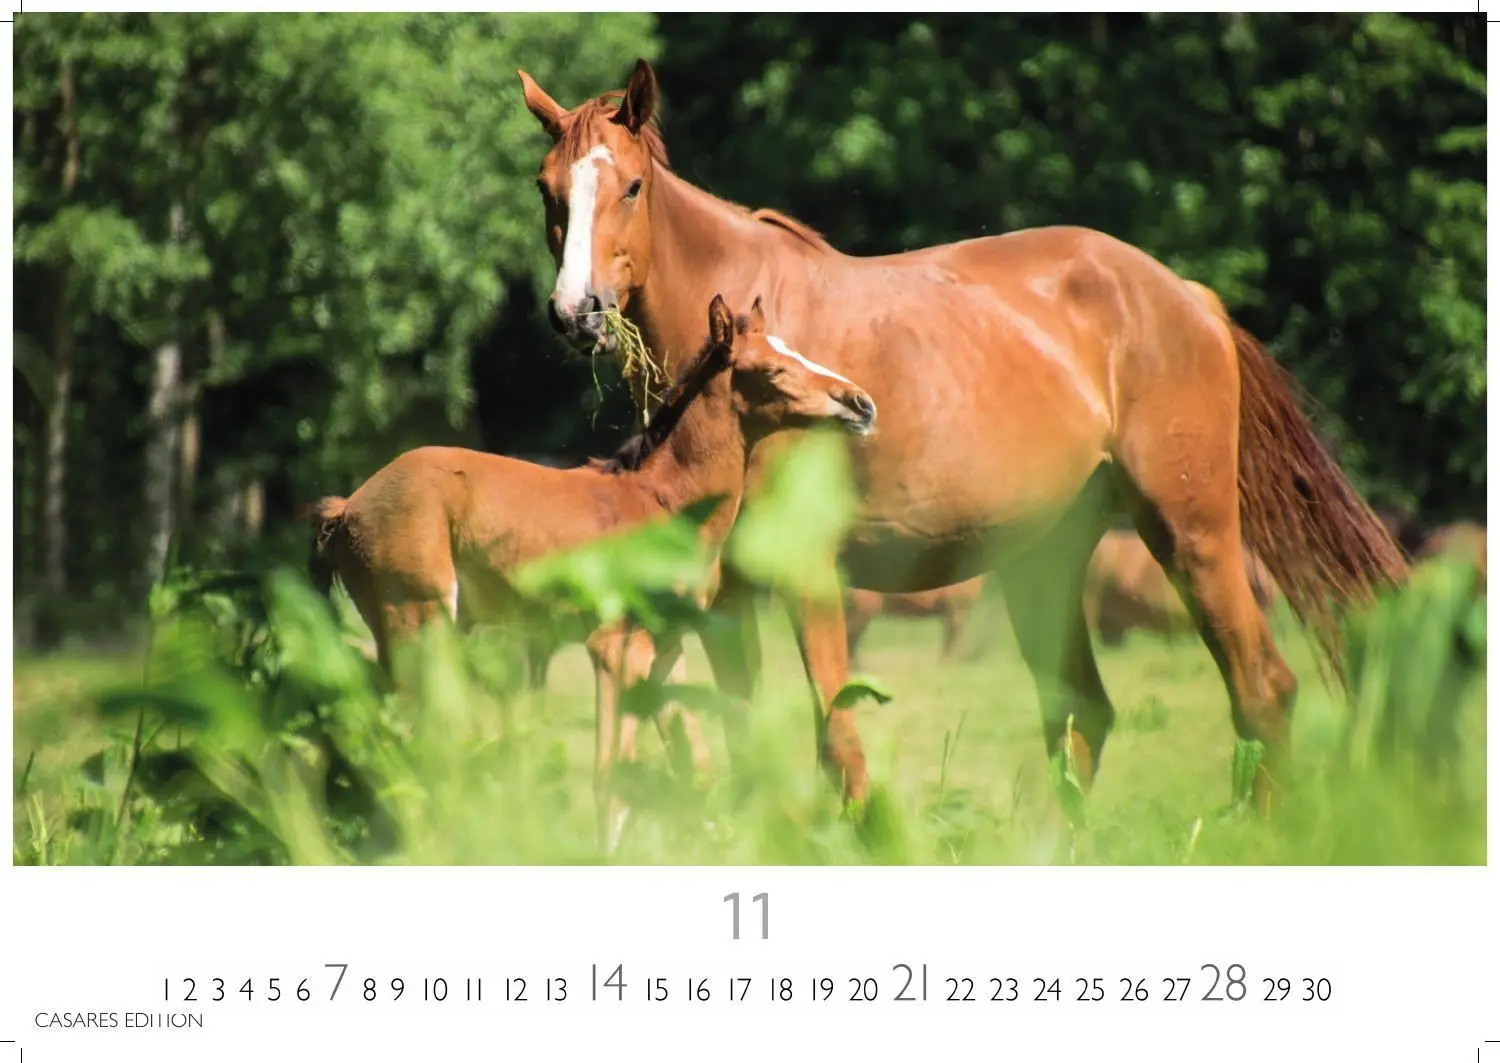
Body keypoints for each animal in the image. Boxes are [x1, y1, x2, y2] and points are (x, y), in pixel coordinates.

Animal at [304, 293, 878, 851]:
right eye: (774, 370)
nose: (862, 404)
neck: (661, 502)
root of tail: (347, 508)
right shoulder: (613, 648)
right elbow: (612, 782)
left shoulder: (663, 653)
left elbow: (695, 769)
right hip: (421, 626)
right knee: (411, 744)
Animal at [843, 577, 988, 666]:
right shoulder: (956, 611)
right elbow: (952, 639)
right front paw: (947, 663)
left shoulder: (953, 614)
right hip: (863, 611)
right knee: (850, 636)